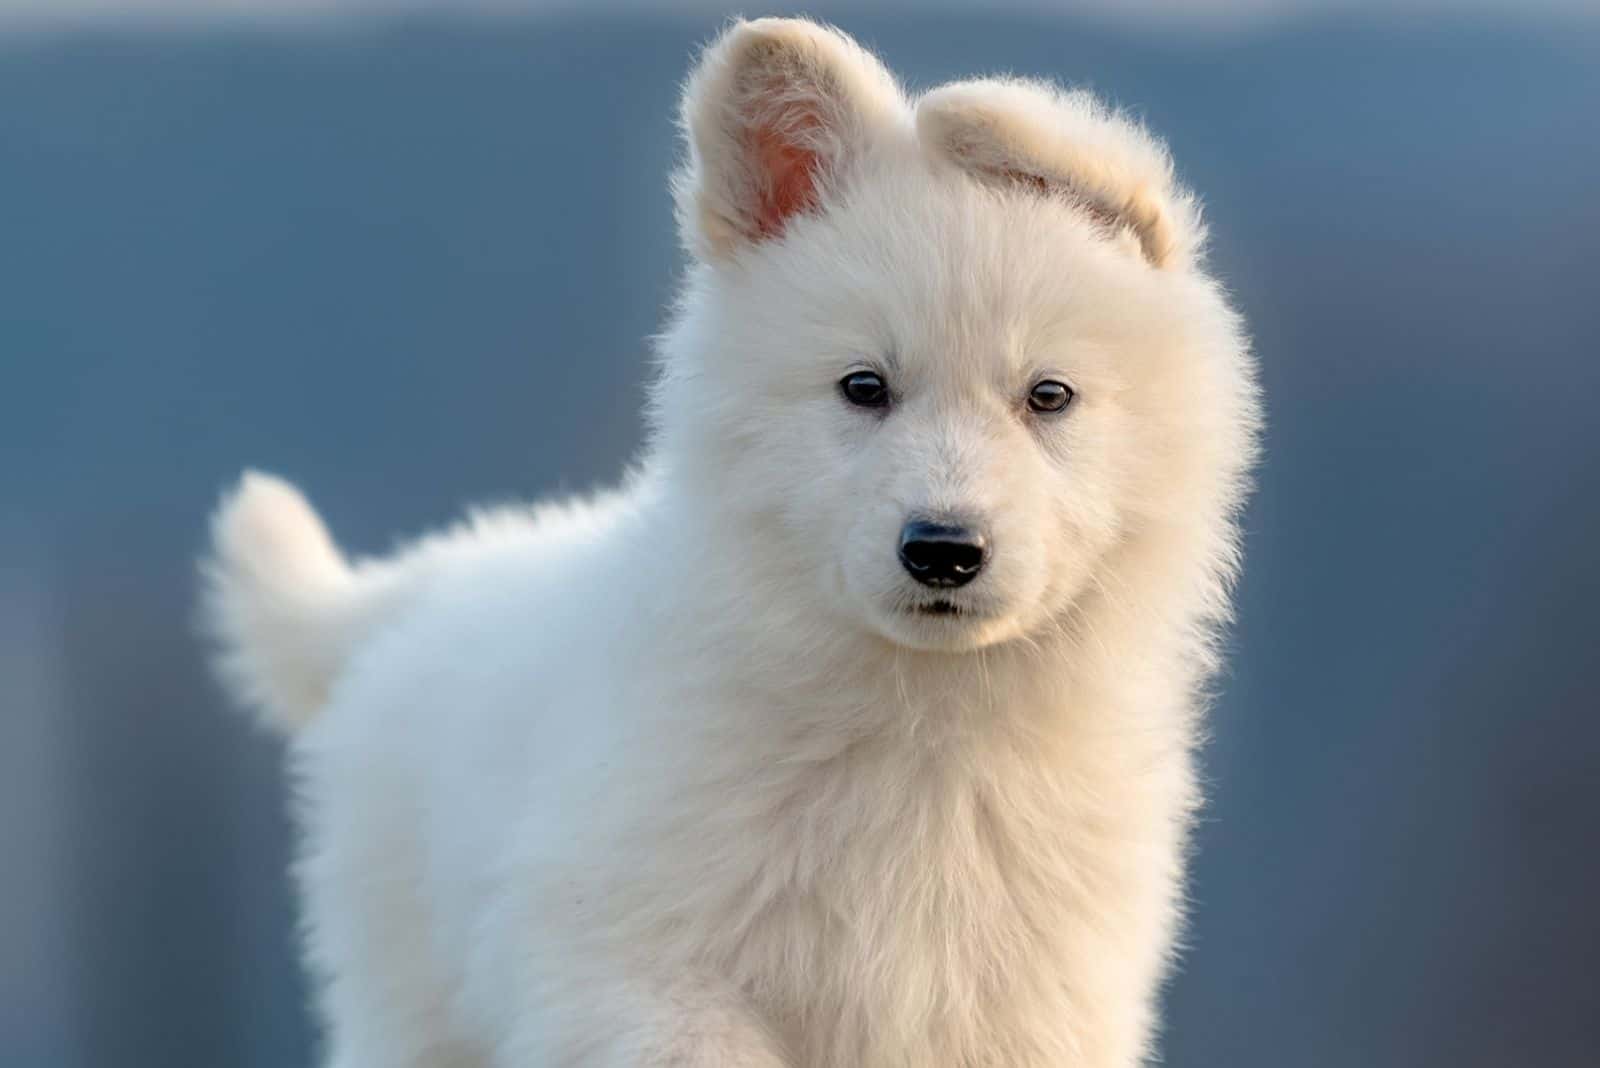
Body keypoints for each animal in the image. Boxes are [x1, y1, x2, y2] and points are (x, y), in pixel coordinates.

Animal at [203, 18, 1260, 1068]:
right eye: (863, 387)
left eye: (1049, 396)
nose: (943, 549)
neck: (918, 730)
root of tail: (420, 587)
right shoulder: (630, 964)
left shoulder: (1035, 1005)